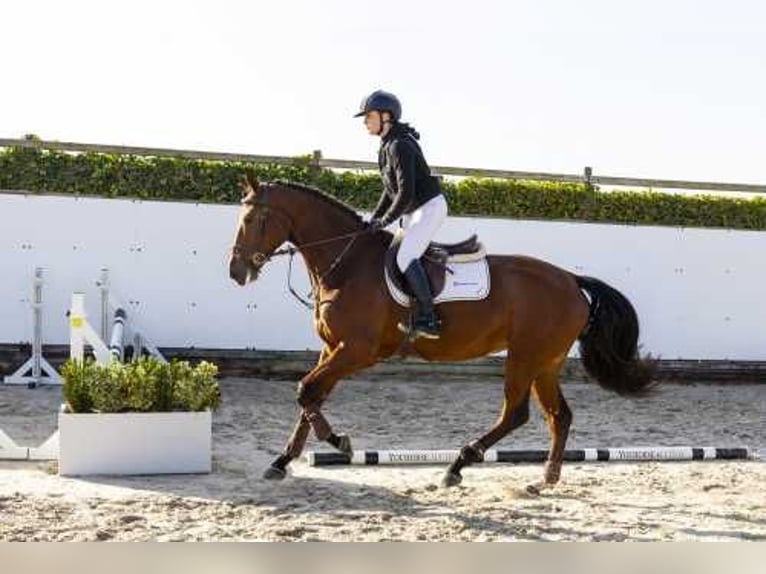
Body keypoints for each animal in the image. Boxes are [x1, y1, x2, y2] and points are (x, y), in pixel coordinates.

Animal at [231, 177, 656, 490]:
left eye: (251, 221)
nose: (237, 272)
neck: (348, 264)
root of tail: (571, 280)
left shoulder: (356, 350)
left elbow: (305, 391)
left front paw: (339, 442)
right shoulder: (333, 348)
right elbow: (310, 397)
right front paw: (282, 461)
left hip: (526, 357)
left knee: (516, 414)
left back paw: (457, 466)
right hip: (545, 363)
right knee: (559, 416)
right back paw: (544, 479)